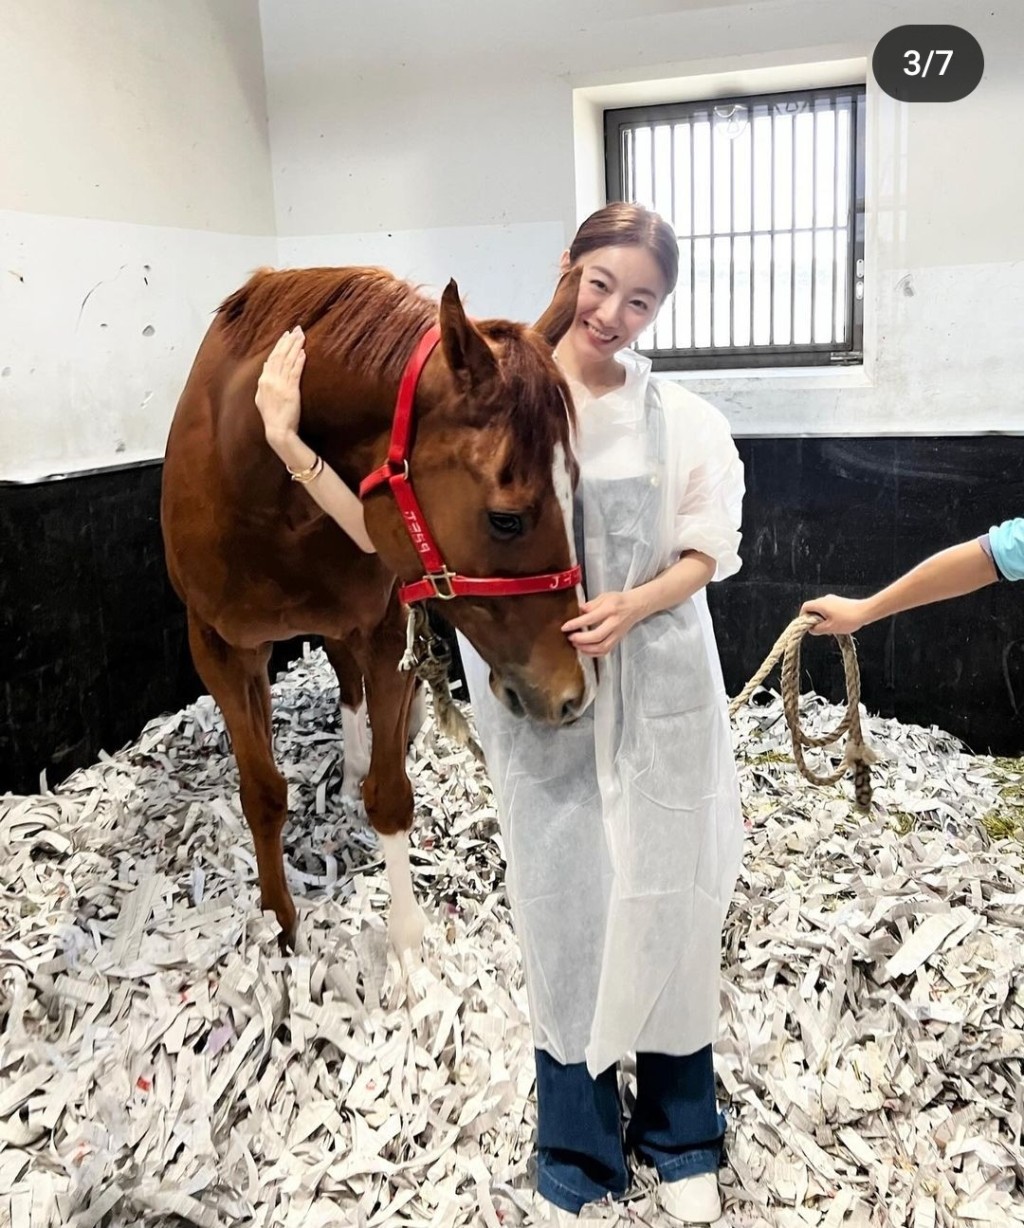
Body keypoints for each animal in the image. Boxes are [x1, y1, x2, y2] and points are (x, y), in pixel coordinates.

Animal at [158, 261, 589, 948]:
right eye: (505, 519)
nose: (572, 693)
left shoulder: (386, 630)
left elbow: (389, 795)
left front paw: (408, 944)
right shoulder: (222, 652)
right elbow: (262, 794)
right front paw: (280, 925)